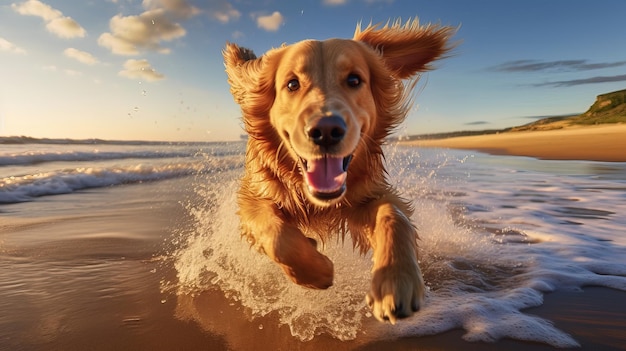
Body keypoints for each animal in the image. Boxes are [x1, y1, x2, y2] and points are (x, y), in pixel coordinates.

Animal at [222, 17, 450, 324]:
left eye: (354, 80)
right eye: (292, 83)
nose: (326, 130)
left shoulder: (366, 196)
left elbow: (394, 216)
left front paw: (396, 281)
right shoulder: (255, 195)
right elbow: (277, 236)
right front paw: (317, 272)